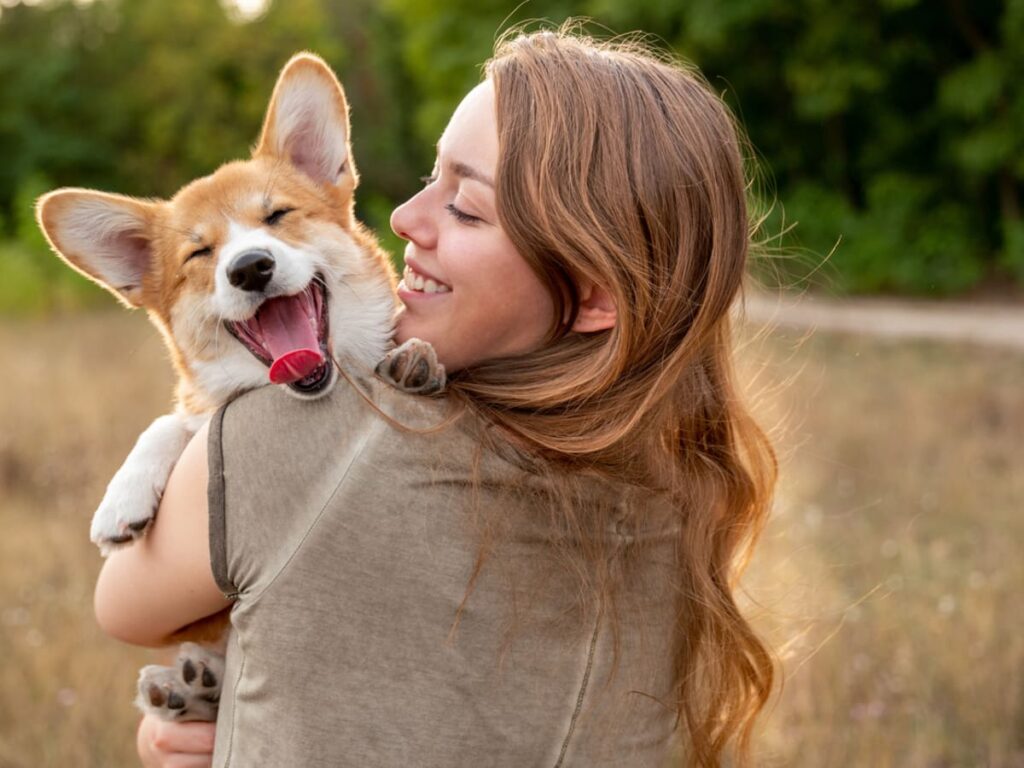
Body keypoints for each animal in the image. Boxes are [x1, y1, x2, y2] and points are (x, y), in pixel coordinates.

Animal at [35, 52, 444, 720]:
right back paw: (185, 686)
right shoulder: (199, 410)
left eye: (277, 216)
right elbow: (170, 421)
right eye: (199, 254)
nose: (250, 267)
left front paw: (415, 359)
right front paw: (121, 501)